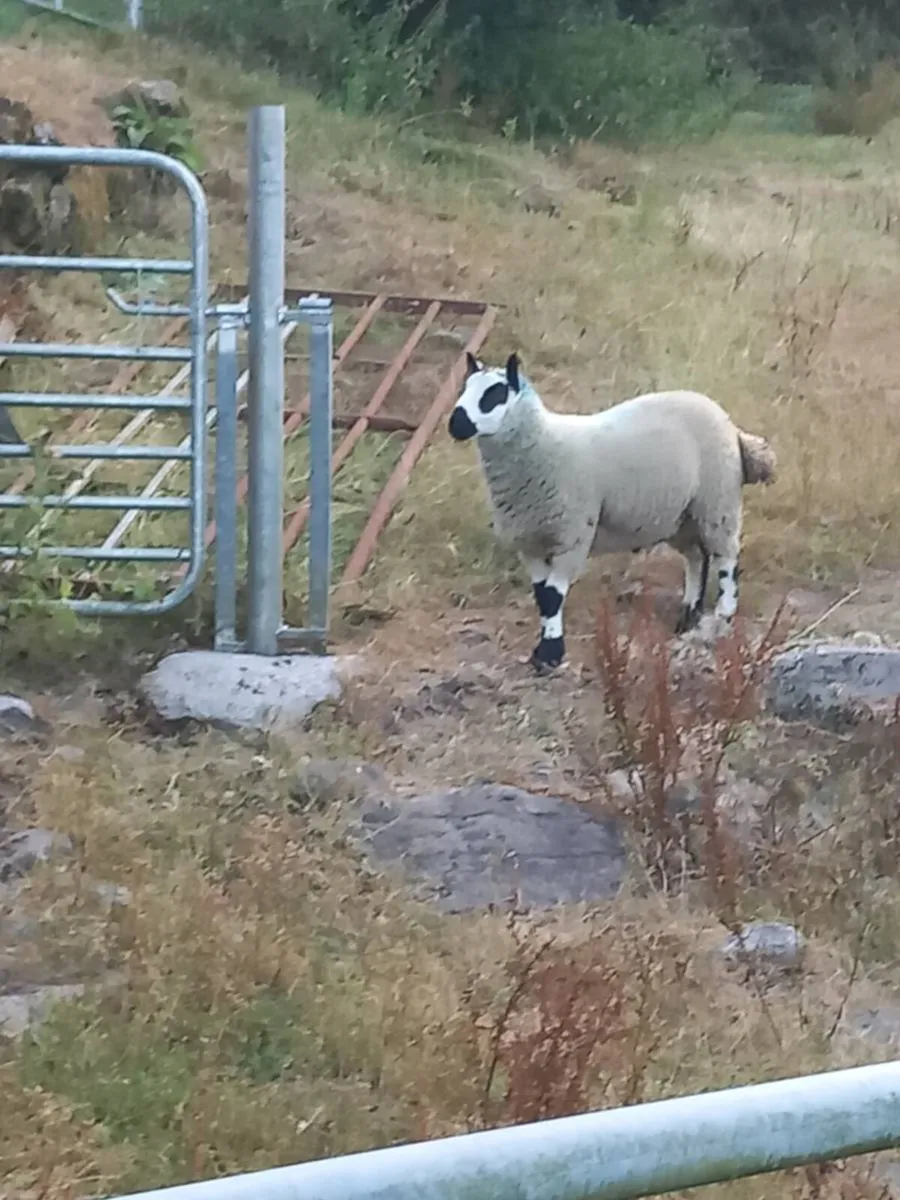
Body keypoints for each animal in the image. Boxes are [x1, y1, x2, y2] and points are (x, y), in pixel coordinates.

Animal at [447, 351, 776, 672]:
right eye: (464, 388)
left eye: (495, 394)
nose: (455, 424)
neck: (544, 444)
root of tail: (730, 425)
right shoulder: (530, 542)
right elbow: (542, 595)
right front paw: (542, 652)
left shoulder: (572, 536)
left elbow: (552, 597)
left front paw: (551, 655)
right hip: (680, 515)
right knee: (697, 558)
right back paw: (688, 615)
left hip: (717, 502)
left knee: (726, 559)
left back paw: (722, 616)